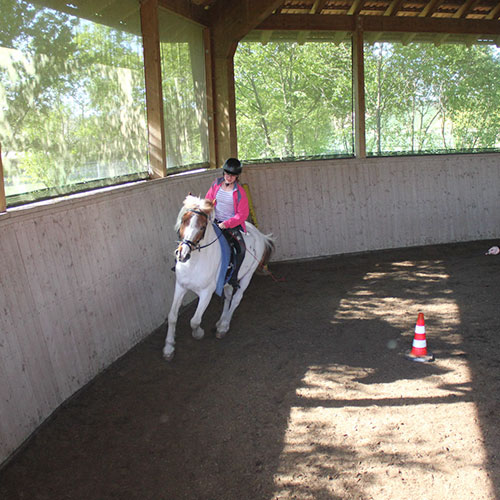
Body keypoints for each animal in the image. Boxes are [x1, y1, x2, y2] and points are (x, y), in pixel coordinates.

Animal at [163, 193, 274, 362]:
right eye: (183, 221)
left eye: (202, 227)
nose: (182, 254)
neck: (195, 262)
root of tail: (259, 234)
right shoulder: (180, 287)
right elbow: (172, 316)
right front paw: (169, 348)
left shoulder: (206, 293)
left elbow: (195, 320)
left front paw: (198, 333)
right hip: (227, 281)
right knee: (228, 297)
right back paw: (221, 320)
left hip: (247, 276)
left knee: (236, 299)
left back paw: (223, 326)